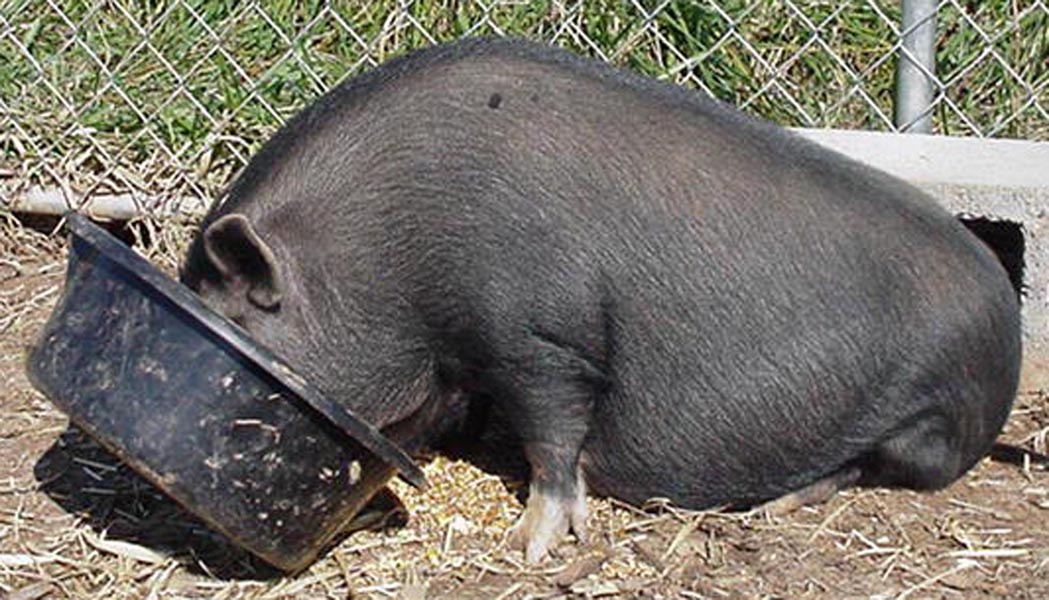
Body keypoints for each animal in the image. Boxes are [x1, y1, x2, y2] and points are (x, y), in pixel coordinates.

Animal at [176, 37, 1019, 562]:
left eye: (236, 316)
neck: (384, 256)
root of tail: (1006, 322)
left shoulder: (539, 336)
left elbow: (552, 436)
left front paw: (529, 547)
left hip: (926, 423)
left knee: (876, 467)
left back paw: (773, 508)